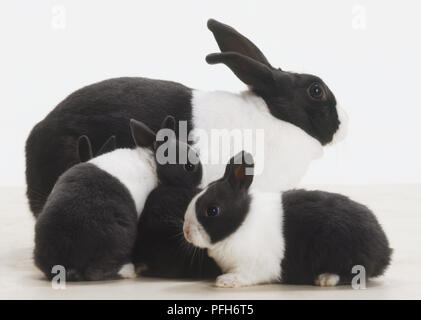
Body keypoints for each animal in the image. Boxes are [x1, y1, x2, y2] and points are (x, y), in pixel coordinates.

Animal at [184, 152, 390, 288]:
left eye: (213, 210)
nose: (186, 232)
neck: (242, 223)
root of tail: (385, 250)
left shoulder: (255, 266)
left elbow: (245, 276)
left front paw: (225, 281)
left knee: (357, 273)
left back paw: (325, 278)